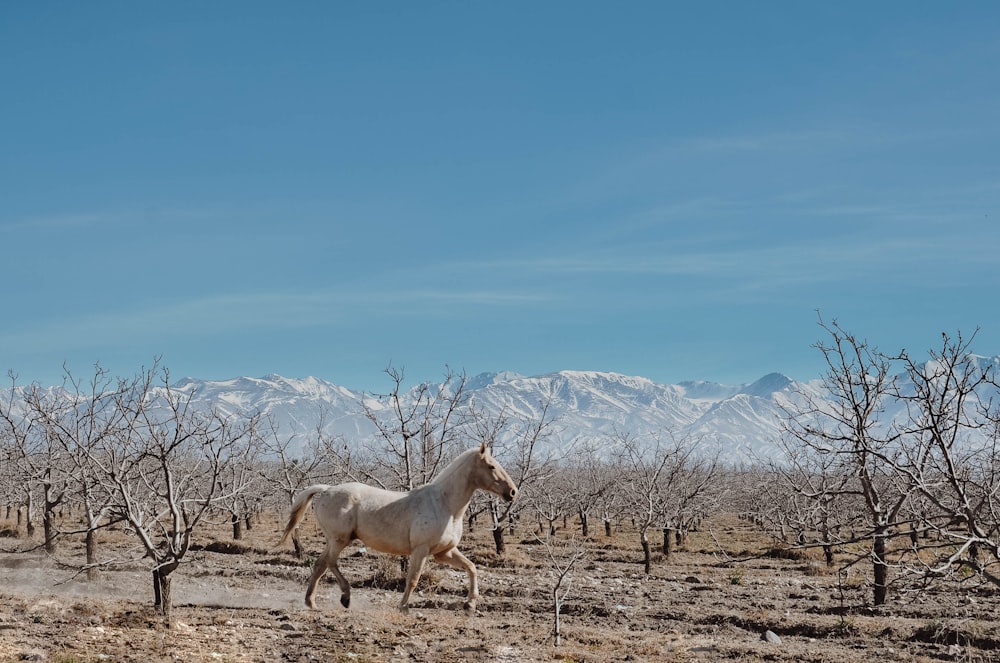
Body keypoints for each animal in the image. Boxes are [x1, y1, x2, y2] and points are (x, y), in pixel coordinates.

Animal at [280, 444, 516, 616]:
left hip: (335, 540)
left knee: (320, 564)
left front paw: (470, 605)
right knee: (328, 563)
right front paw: (403, 607)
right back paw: (344, 597)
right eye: (491, 466)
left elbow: (471, 567)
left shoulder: (444, 552)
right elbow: (413, 578)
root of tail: (327, 489)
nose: (512, 492)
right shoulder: (421, 550)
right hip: (339, 539)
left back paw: (312, 603)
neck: (445, 505)